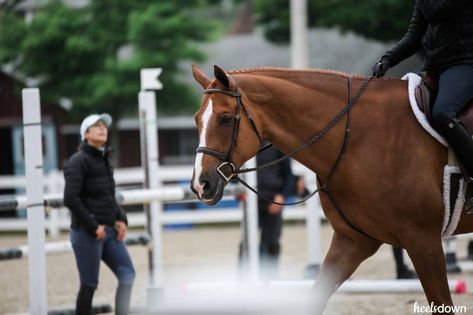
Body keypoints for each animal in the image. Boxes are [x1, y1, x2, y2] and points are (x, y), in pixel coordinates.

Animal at [189, 64, 472, 314]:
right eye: (196, 120)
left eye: (226, 119)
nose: (200, 185)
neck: (357, 137)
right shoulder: (353, 241)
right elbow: (316, 297)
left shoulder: (423, 240)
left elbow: (442, 303)